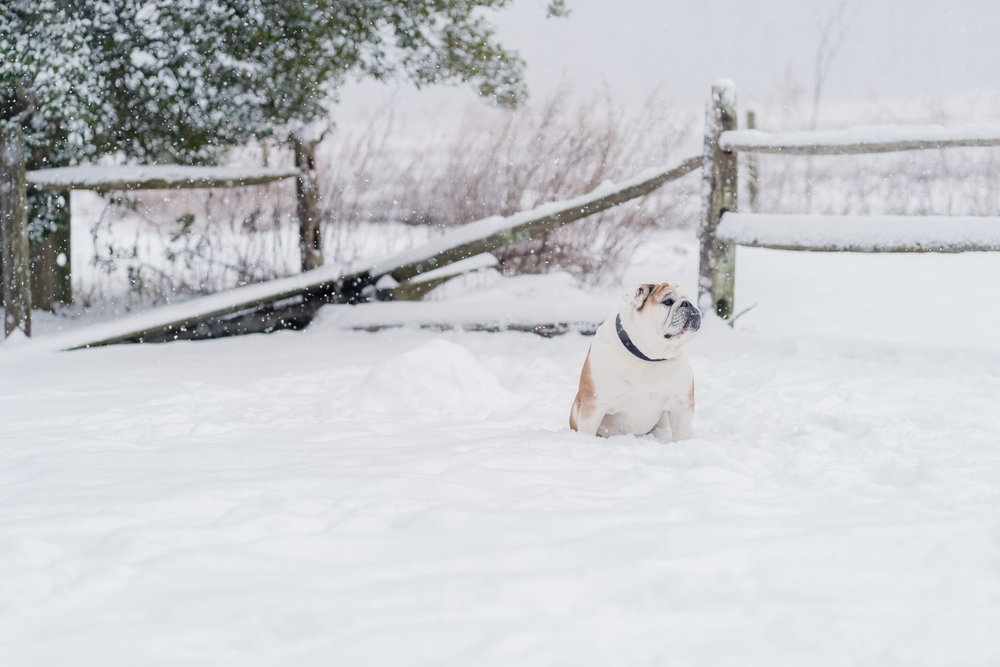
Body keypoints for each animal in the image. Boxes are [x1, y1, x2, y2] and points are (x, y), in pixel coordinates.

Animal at [572, 284, 704, 444]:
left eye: (689, 299)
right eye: (668, 301)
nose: (688, 304)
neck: (650, 358)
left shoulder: (681, 404)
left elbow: (681, 434)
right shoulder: (594, 404)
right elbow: (588, 430)